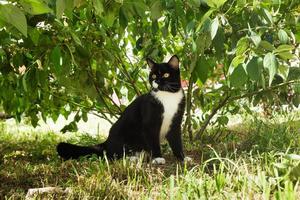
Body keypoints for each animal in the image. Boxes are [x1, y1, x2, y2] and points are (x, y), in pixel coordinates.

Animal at [56, 55, 190, 164]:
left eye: (166, 74)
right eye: (153, 75)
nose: (156, 80)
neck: (168, 96)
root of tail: (107, 142)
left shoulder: (175, 123)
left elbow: (177, 142)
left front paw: (182, 158)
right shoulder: (150, 123)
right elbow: (153, 141)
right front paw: (157, 158)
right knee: (112, 155)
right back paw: (131, 158)